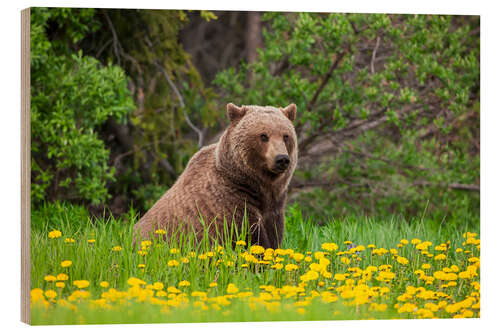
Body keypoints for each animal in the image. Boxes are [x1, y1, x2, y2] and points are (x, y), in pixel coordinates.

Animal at [133, 102, 296, 248]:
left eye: (286, 136)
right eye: (263, 135)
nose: (281, 159)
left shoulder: (274, 207)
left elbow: (273, 236)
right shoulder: (230, 201)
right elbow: (250, 237)